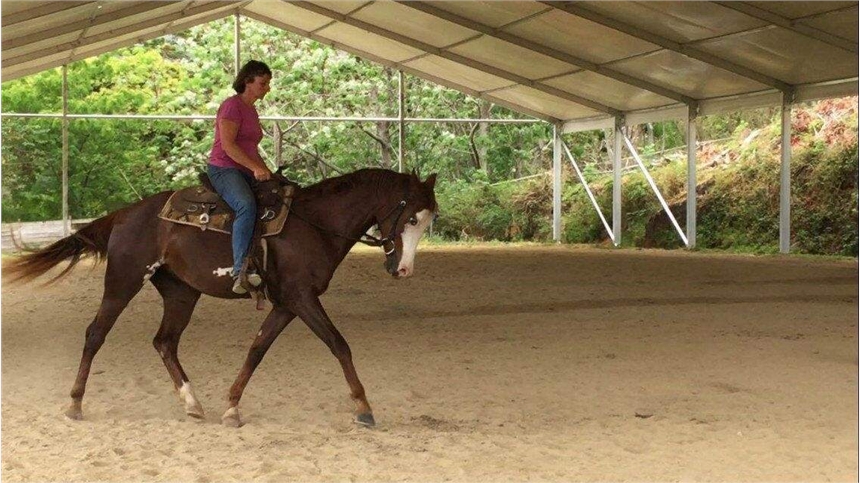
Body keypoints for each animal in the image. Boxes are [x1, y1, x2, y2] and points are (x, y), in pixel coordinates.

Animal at [5, 167, 436, 428]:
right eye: (412, 217)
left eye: (429, 221)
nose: (403, 270)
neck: (314, 225)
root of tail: (125, 214)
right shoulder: (302, 298)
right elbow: (338, 343)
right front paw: (364, 408)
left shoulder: (286, 304)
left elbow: (257, 349)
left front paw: (231, 407)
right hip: (123, 281)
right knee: (96, 333)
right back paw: (75, 403)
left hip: (181, 293)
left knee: (165, 342)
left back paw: (193, 404)